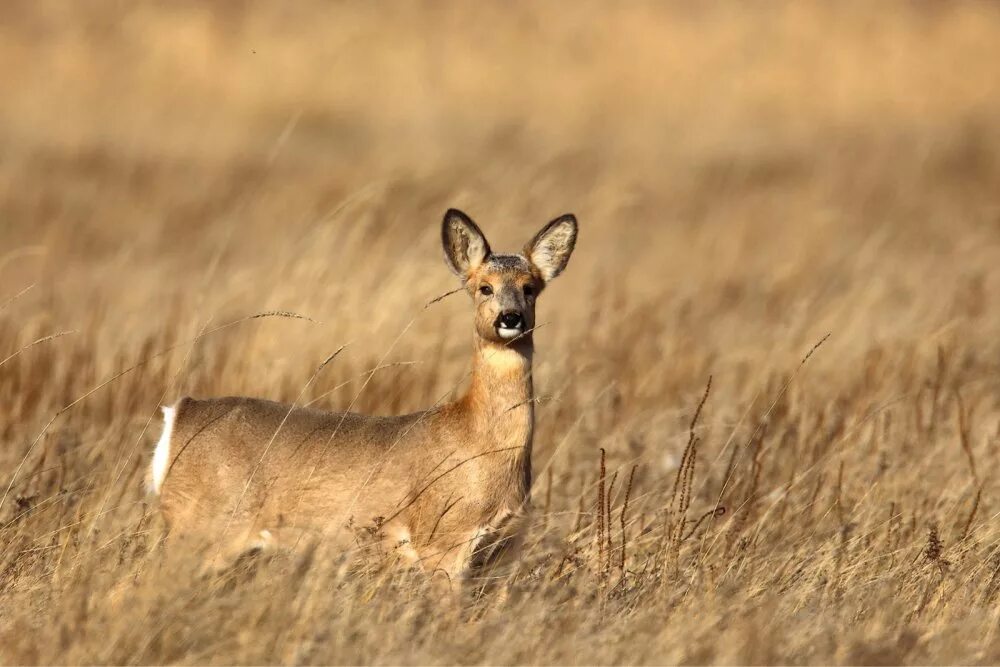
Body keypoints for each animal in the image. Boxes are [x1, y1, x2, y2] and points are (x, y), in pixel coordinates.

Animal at [148, 209, 580, 588]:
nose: (510, 318)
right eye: (483, 287)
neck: (480, 442)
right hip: (199, 527)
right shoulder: (441, 541)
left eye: (530, 288)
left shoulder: (498, 553)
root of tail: (181, 412)